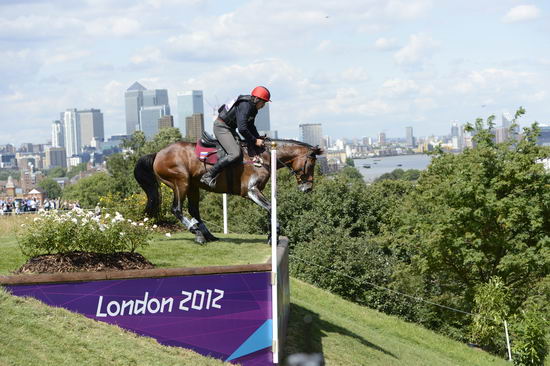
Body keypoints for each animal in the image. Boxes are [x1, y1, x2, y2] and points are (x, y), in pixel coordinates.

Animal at [134, 137, 324, 243]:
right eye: (311, 164)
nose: (308, 188)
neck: (264, 157)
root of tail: (158, 153)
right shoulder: (251, 191)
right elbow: (272, 208)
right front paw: (274, 236)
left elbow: (271, 209)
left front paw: (273, 235)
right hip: (181, 182)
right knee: (177, 209)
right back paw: (197, 233)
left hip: (193, 186)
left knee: (193, 210)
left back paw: (207, 235)